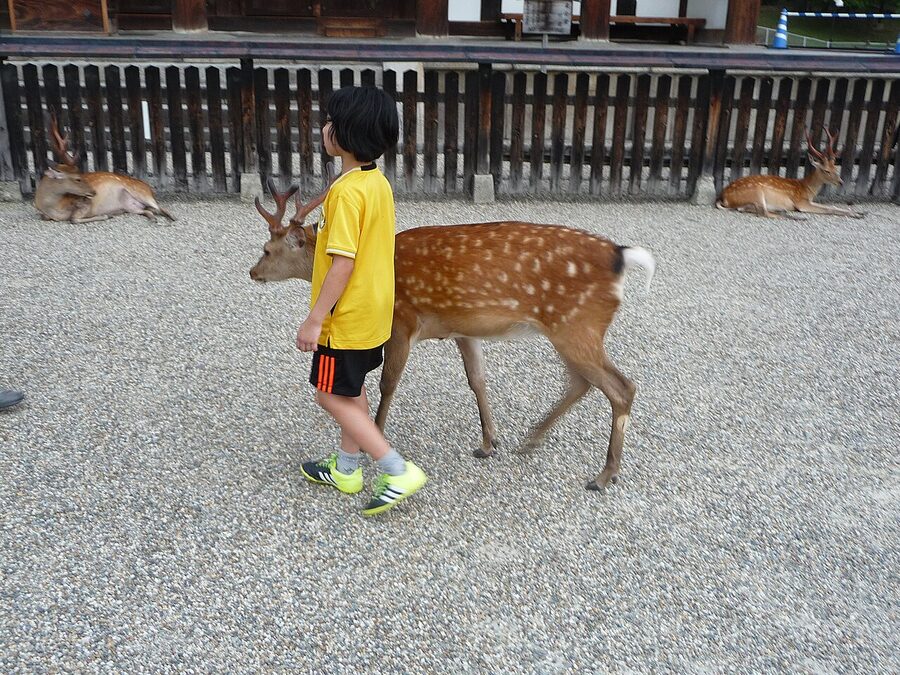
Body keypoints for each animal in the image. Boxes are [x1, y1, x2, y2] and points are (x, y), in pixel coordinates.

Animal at [34, 115, 175, 224]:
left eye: (81, 174)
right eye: (78, 179)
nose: (93, 192)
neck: (53, 208)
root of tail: (149, 188)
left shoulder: (85, 202)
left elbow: (73, 218)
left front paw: (105, 215)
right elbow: (46, 217)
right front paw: (107, 214)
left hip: (142, 193)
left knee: (159, 208)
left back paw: (171, 218)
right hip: (131, 206)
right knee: (147, 210)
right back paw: (152, 218)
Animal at [249, 178, 656, 492]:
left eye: (267, 249)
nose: (252, 272)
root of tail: (621, 256)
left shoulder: (402, 321)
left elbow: (388, 382)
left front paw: (374, 437)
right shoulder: (464, 329)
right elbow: (477, 379)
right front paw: (489, 442)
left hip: (577, 325)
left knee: (621, 386)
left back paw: (603, 475)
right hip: (570, 329)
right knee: (582, 382)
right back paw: (530, 440)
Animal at [717, 129, 864, 219]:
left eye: (835, 168)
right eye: (826, 170)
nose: (841, 182)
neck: (807, 189)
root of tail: (724, 197)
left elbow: (831, 206)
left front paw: (859, 212)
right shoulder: (801, 202)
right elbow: (829, 209)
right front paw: (857, 214)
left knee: (748, 209)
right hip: (756, 192)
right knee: (763, 213)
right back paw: (794, 216)